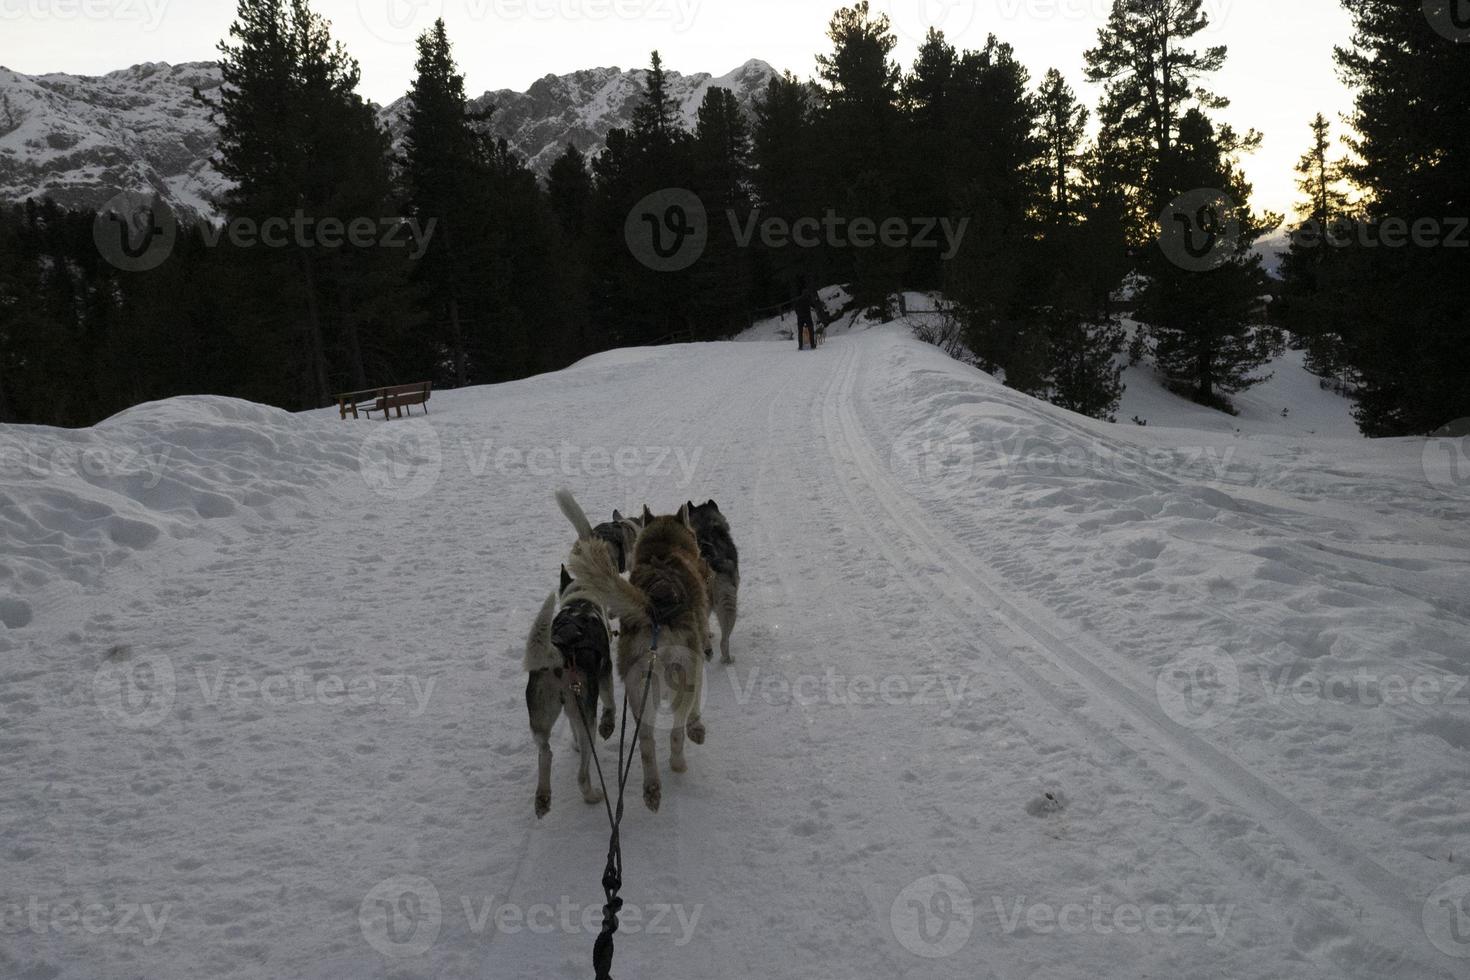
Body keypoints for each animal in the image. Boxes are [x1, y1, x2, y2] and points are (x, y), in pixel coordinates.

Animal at [523, 567, 614, 822]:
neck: (580, 603)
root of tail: (560, 652)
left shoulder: (574, 711)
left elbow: (573, 728)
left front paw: (573, 744)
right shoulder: (605, 675)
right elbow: (610, 702)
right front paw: (609, 724)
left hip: (541, 718)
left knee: (546, 752)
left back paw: (543, 798)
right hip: (587, 721)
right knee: (582, 775)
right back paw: (592, 796)